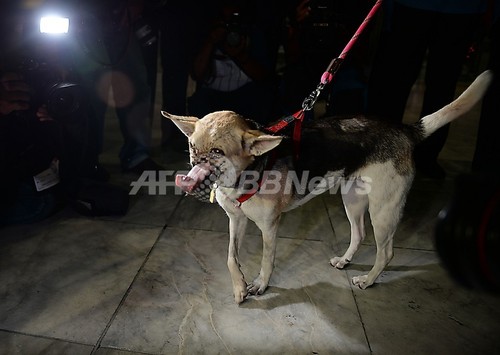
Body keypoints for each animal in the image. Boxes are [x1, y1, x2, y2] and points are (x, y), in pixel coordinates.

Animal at [161, 71, 492, 304]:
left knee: (386, 252)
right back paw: (346, 261)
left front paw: (260, 284)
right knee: (359, 234)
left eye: (217, 152)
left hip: (384, 210)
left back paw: (368, 280)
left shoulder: (270, 227)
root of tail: (405, 130)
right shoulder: (236, 220)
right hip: (353, 199)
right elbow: (231, 257)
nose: (194, 163)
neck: (246, 173)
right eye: (192, 146)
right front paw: (240, 286)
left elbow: (267, 260)